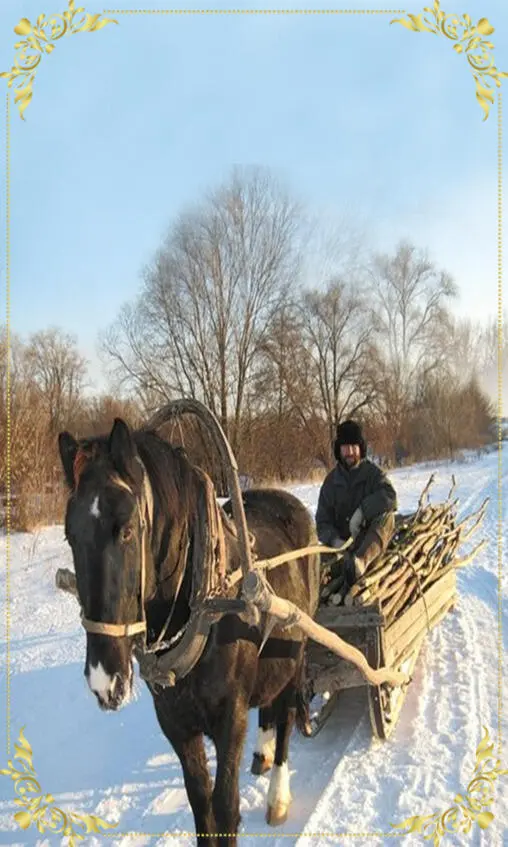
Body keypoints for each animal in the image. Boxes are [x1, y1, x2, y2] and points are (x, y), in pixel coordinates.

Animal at [57, 420, 320, 847]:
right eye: (69, 535)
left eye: (126, 529)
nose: (103, 679)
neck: (203, 607)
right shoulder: (176, 723)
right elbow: (201, 805)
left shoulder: (230, 717)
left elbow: (225, 806)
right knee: (268, 707)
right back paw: (262, 753)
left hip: (296, 650)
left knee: (284, 715)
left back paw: (277, 793)